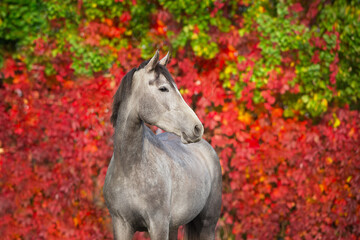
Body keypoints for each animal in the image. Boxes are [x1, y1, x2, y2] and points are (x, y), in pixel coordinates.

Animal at [102, 50, 222, 238]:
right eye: (163, 88)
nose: (197, 127)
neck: (130, 168)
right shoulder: (121, 224)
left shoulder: (158, 225)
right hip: (174, 227)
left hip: (207, 225)